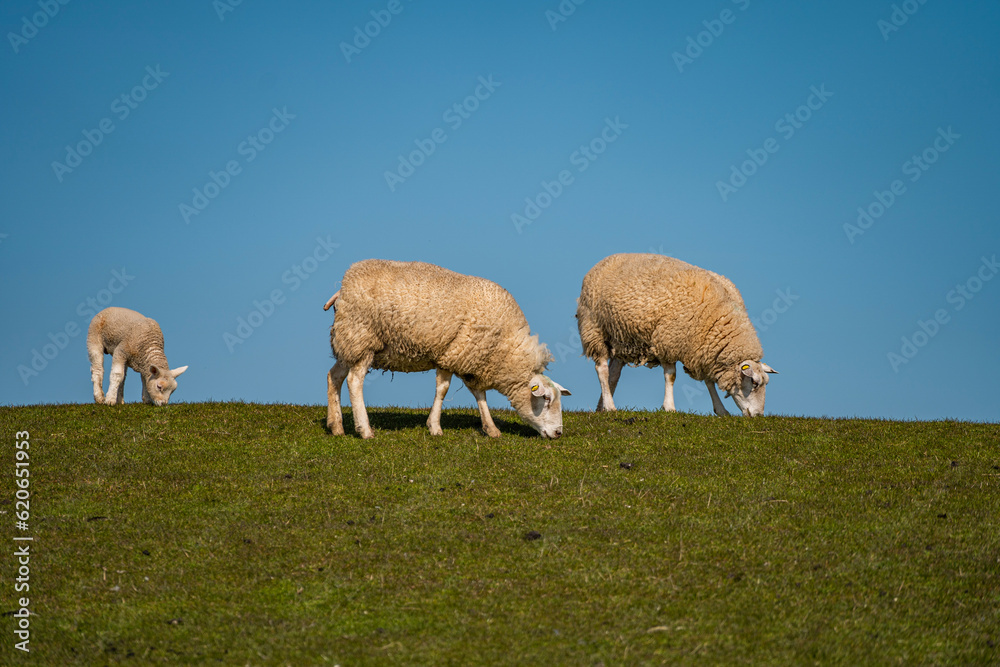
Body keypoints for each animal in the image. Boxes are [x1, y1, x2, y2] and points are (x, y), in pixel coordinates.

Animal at [324, 259, 570, 439]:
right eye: (546, 398)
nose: (558, 433)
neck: (505, 347)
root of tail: (342, 288)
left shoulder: (471, 360)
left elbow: (479, 395)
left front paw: (491, 429)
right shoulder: (451, 354)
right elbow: (443, 390)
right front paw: (435, 427)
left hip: (348, 342)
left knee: (334, 376)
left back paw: (336, 426)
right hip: (362, 337)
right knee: (354, 381)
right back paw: (365, 430)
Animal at [576, 253, 777, 417]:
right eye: (754, 383)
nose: (758, 416)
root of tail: (604, 261)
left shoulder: (702, 350)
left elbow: (708, 381)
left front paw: (721, 410)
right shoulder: (668, 341)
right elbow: (671, 376)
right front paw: (669, 407)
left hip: (621, 338)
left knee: (613, 374)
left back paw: (602, 406)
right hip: (594, 329)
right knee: (602, 369)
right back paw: (610, 406)